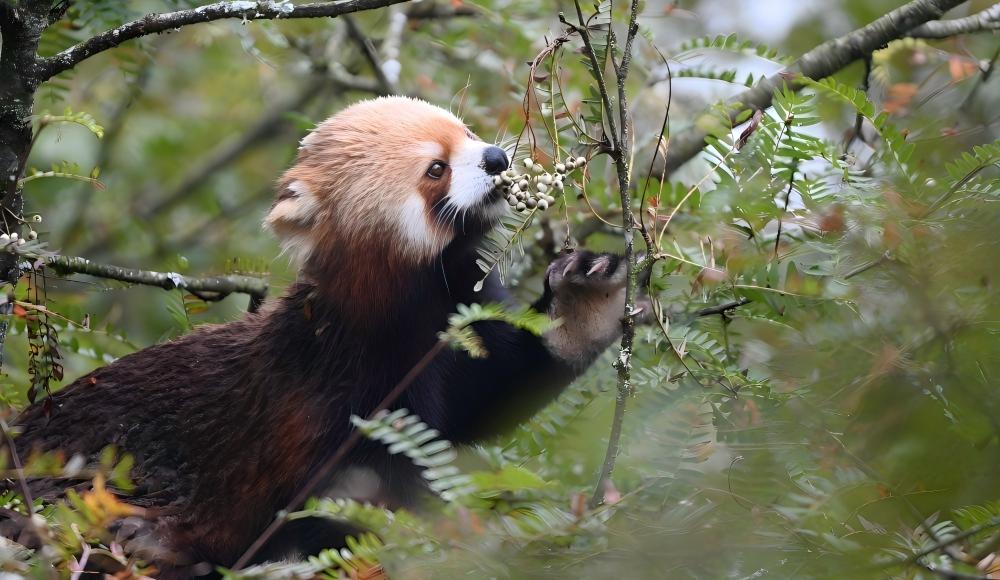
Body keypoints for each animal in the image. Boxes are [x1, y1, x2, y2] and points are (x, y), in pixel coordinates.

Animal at [9, 96, 631, 575]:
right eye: (436, 168)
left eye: (468, 133)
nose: (498, 158)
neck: (403, 313)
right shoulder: (318, 391)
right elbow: (338, 504)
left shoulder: (451, 341)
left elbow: (497, 391)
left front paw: (583, 303)